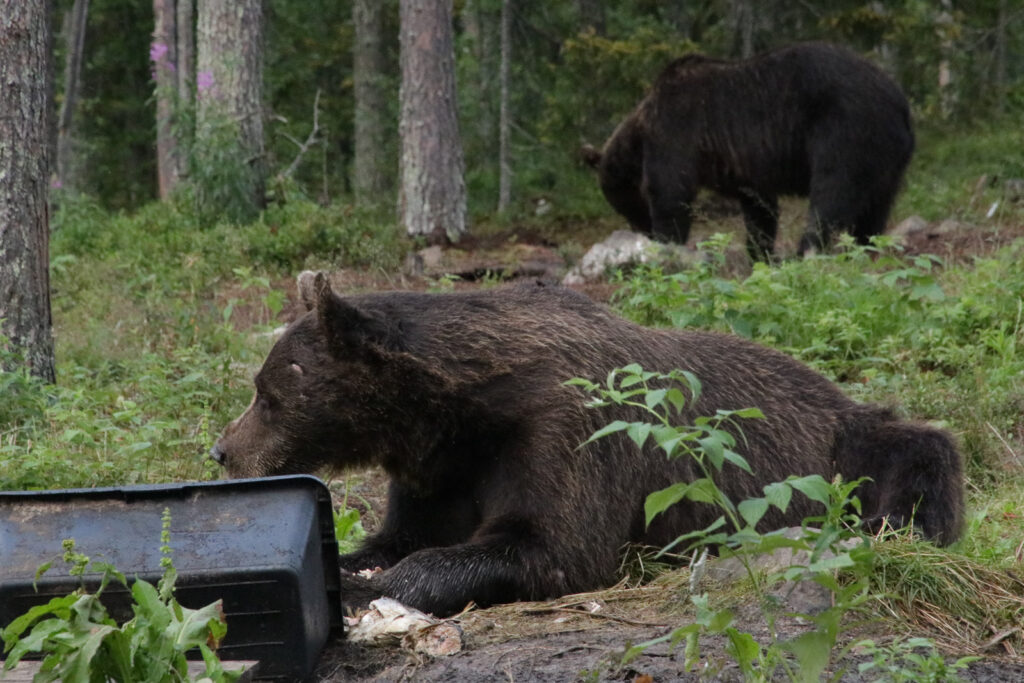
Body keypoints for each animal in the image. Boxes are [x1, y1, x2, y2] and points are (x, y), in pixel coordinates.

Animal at [210, 273, 963, 617]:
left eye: (265, 391)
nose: (223, 449)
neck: (463, 410)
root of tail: (836, 392)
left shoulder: (569, 431)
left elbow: (552, 544)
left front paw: (384, 587)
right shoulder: (443, 467)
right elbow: (402, 533)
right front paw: (359, 565)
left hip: (844, 448)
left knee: (922, 449)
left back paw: (906, 523)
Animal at [582, 42, 915, 261]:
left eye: (624, 205)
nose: (641, 231)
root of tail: (899, 101)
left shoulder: (677, 130)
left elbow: (671, 194)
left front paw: (666, 243)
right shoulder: (746, 167)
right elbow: (759, 208)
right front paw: (760, 253)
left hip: (844, 128)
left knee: (832, 191)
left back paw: (806, 252)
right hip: (886, 157)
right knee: (874, 206)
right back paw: (864, 249)